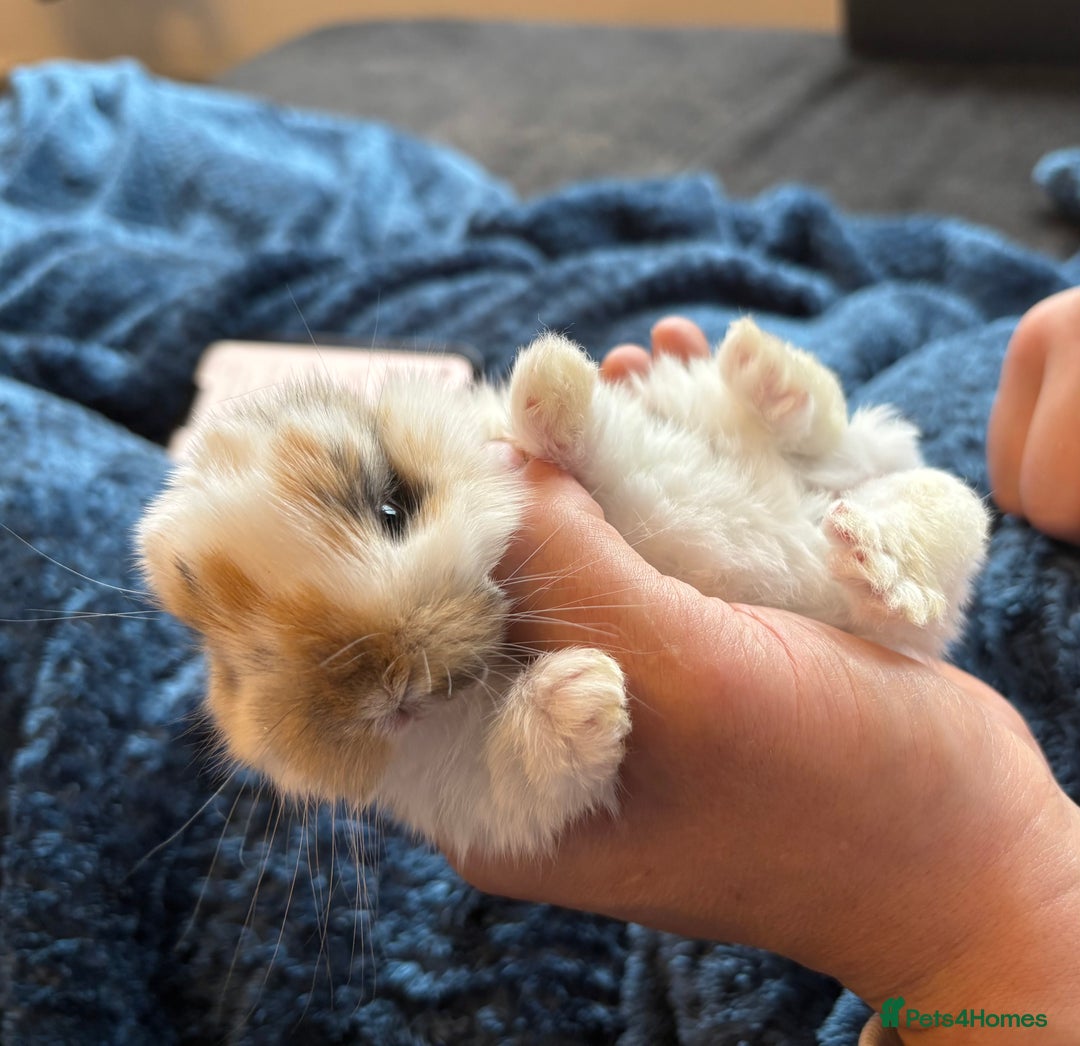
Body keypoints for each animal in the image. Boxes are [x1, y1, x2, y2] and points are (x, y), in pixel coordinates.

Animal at [136, 318, 989, 859]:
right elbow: (525, 779)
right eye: (237, 661)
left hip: (870, 496)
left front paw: (549, 384)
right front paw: (580, 699)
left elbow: (595, 451)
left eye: (392, 508)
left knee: (883, 480)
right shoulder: (471, 800)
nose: (383, 689)